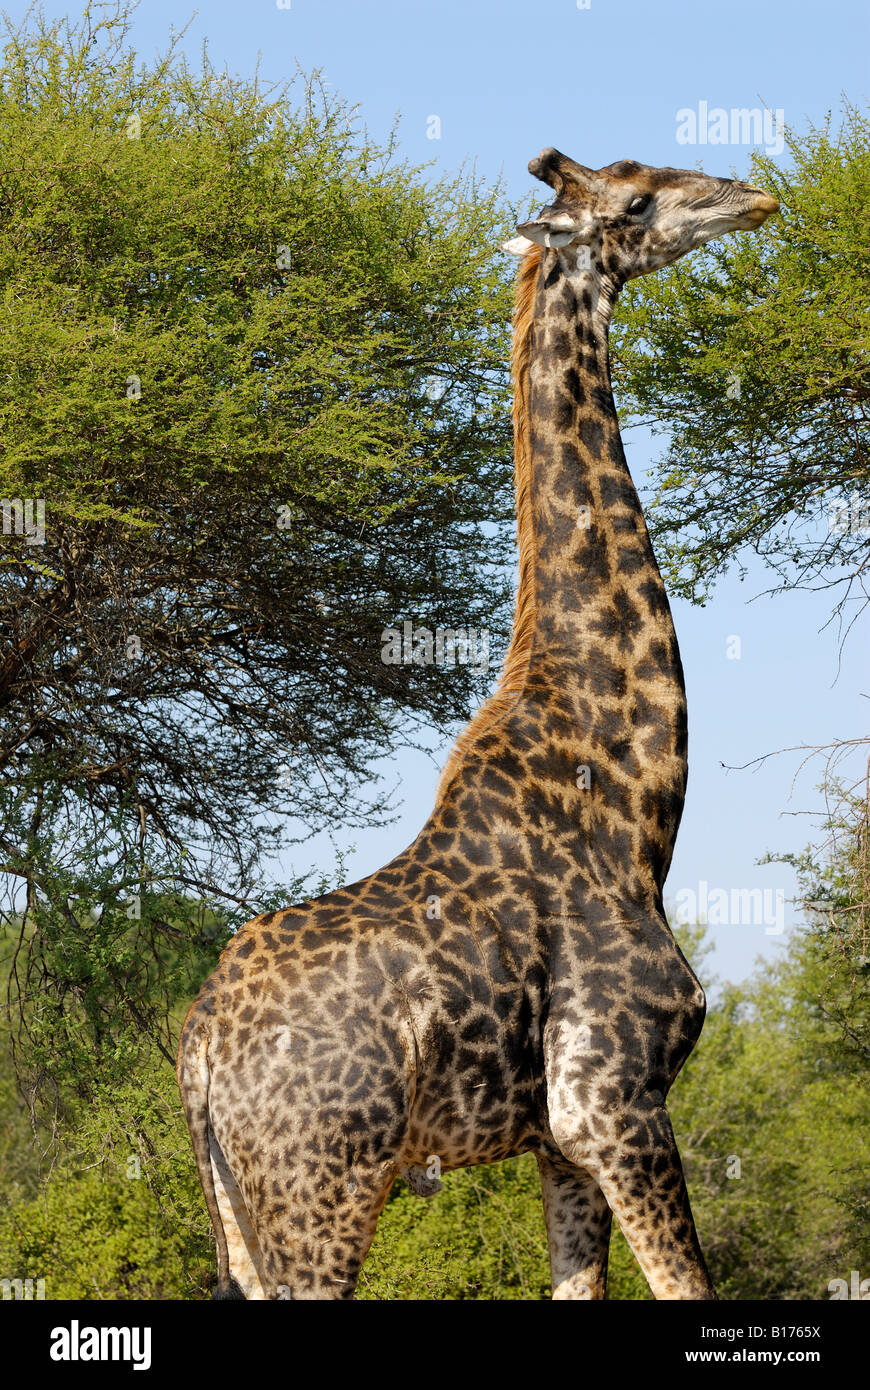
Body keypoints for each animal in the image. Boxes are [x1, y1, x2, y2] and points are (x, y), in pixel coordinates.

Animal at [174, 152, 772, 1301]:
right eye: (637, 200)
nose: (753, 195)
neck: (633, 798)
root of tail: (199, 1057)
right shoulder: (620, 1106)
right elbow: (688, 1286)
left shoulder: (559, 1146)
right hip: (322, 1193)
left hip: (239, 1213)